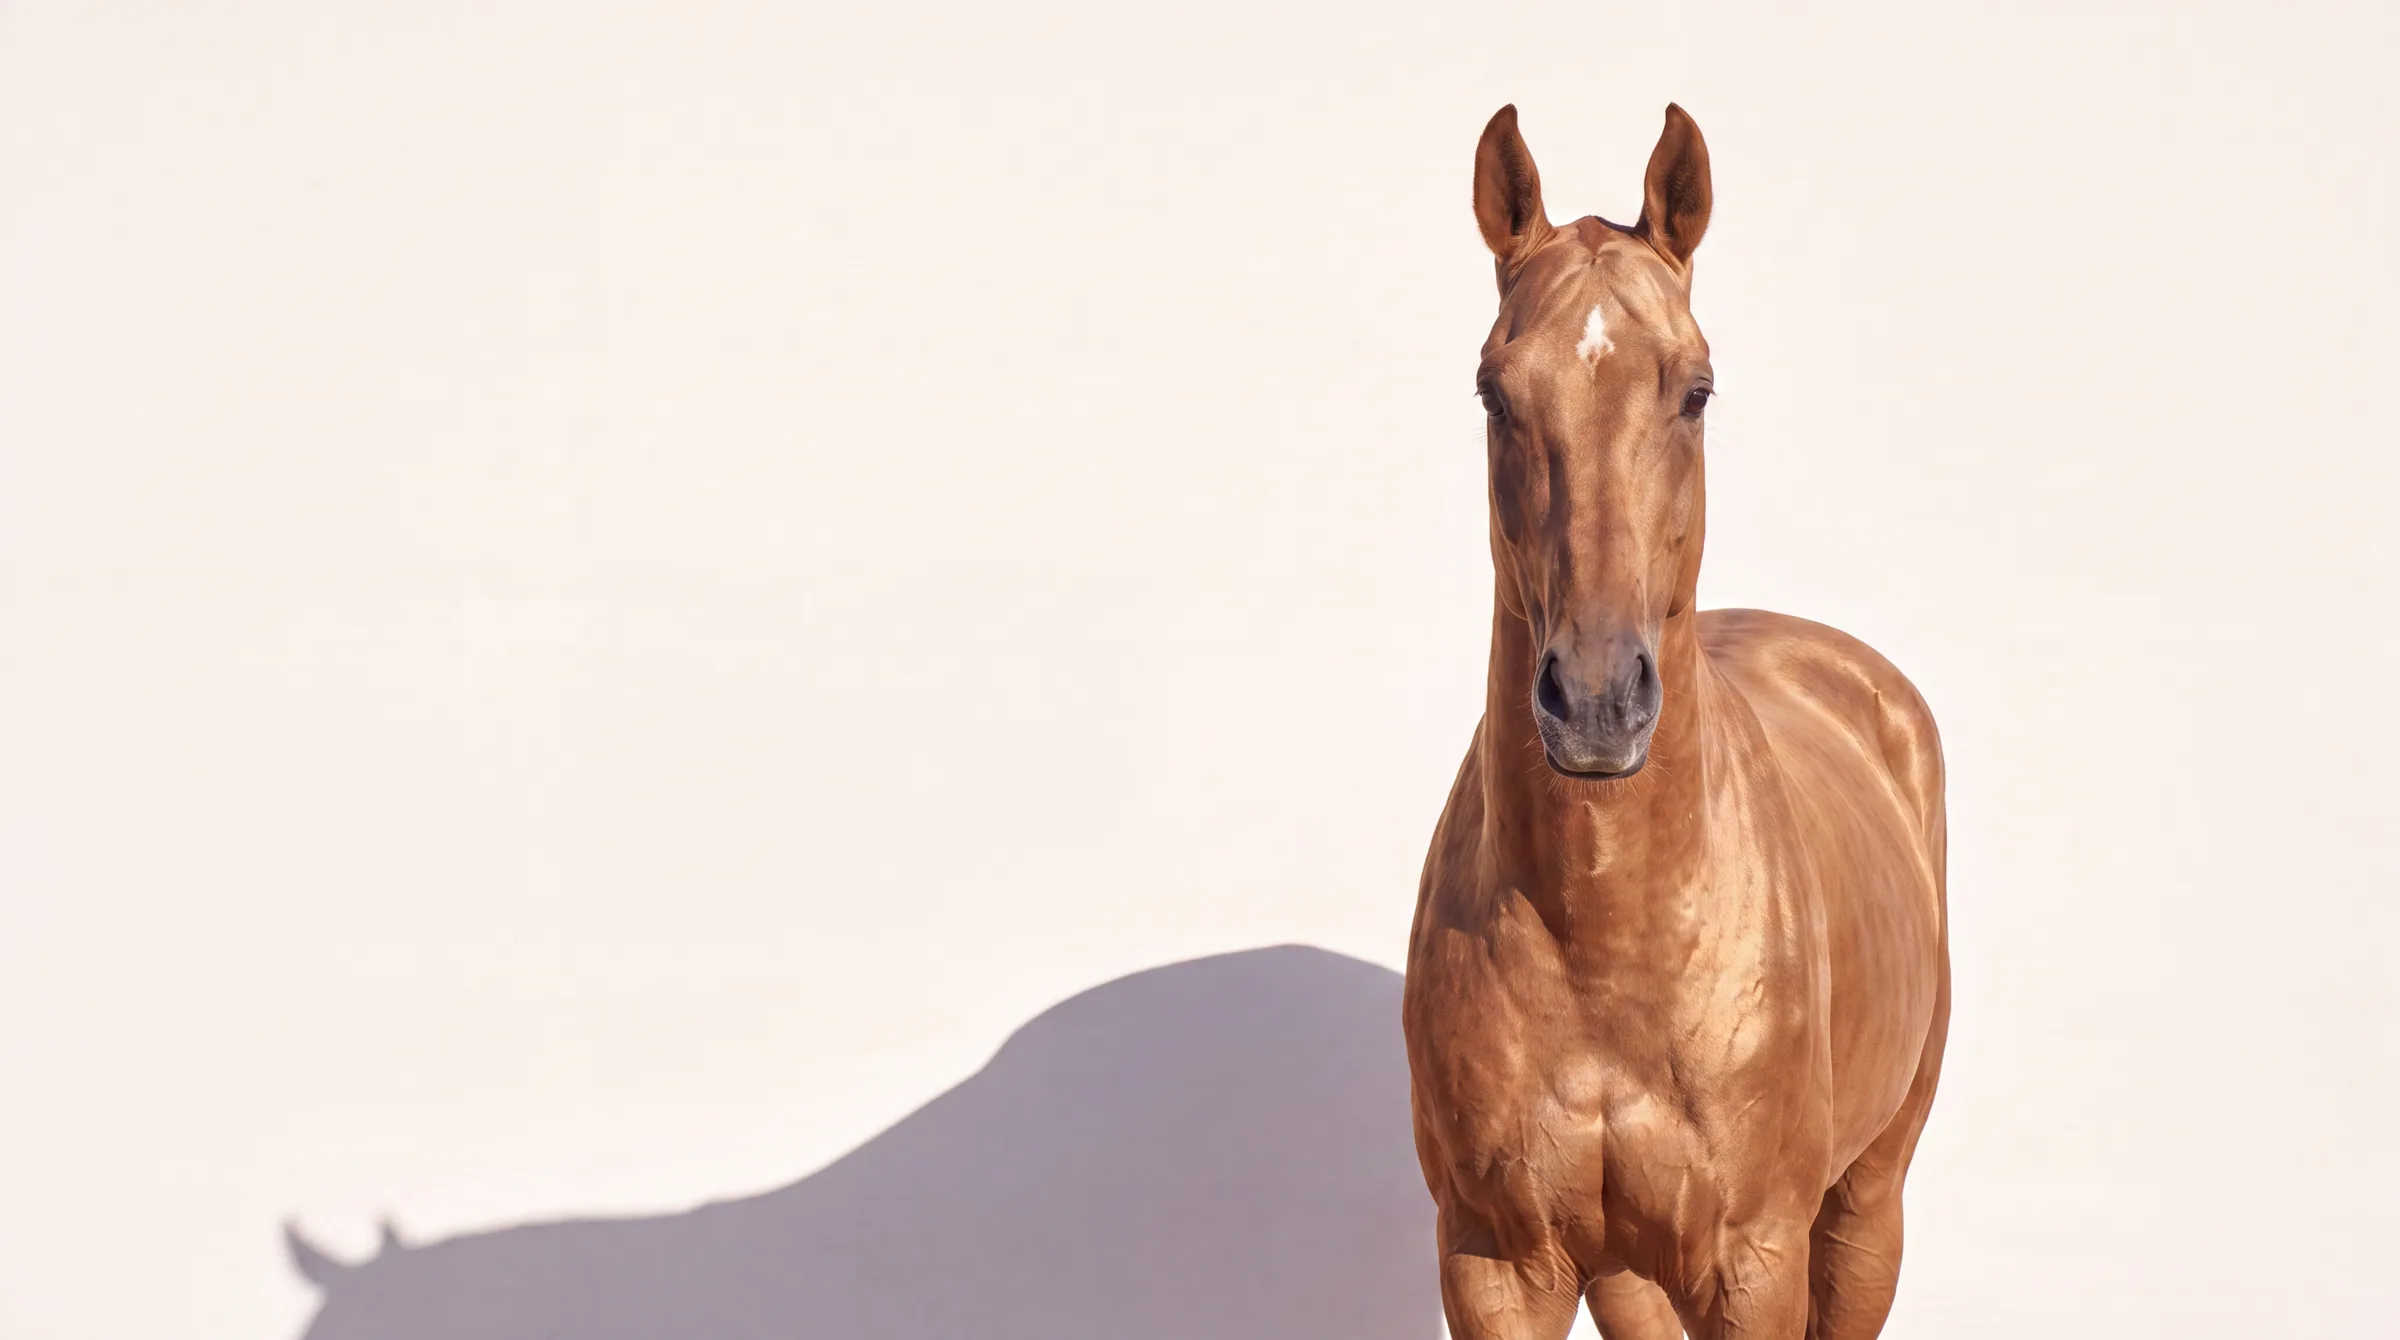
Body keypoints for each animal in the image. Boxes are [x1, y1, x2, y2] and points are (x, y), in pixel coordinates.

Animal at [1401, 105, 1950, 1340]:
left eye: (1694, 389)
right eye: (1494, 391)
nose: (1598, 699)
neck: (1608, 938)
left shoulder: (1755, 1264)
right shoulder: (1493, 1264)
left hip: (1868, 1204)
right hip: (1633, 1271)